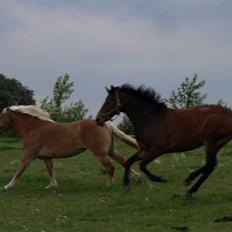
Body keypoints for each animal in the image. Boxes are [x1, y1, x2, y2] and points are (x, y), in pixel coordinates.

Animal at [0, 105, 141, 190]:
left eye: (0, 116)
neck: (33, 128)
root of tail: (106, 124)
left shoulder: (28, 154)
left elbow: (20, 169)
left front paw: (7, 187)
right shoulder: (46, 157)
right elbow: (50, 171)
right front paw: (52, 186)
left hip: (99, 153)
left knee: (110, 167)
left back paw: (109, 185)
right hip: (111, 151)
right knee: (123, 161)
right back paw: (137, 178)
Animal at [96, 83, 232, 196]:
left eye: (108, 101)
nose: (98, 119)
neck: (151, 119)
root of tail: (229, 113)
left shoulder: (158, 149)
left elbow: (142, 165)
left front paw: (159, 179)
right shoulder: (145, 150)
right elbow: (129, 161)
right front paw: (126, 186)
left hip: (211, 142)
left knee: (210, 165)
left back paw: (189, 186)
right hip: (215, 144)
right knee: (211, 165)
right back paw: (189, 186)